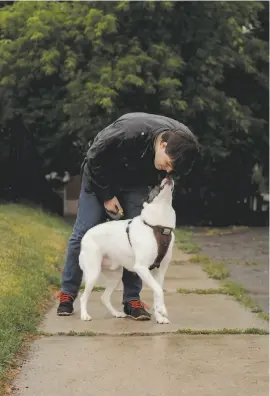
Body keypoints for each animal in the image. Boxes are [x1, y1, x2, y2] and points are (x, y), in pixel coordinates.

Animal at [77, 177, 177, 324]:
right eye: (155, 185)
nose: (169, 176)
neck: (158, 225)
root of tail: (86, 235)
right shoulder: (141, 268)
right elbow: (159, 290)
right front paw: (162, 310)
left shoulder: (160, 271)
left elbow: (156, 292)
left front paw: (159, 315)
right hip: (93, 273)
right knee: (84, 297)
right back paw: (84, 315)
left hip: (115, 276)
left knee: (104, 297)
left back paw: (116, 313)